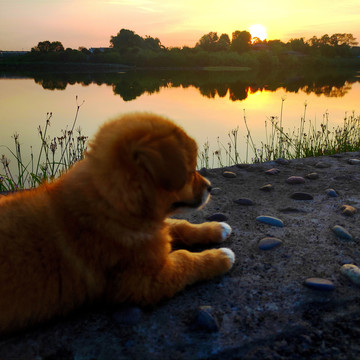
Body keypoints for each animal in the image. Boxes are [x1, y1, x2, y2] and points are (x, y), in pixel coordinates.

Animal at [0, 113, 235, 334]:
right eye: (190, 171)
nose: (210, 187)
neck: (110, 202)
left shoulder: (153, 231)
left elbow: (178, 225)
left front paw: (217, 228)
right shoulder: (144, 283)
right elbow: (185, 260)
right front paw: (222, 256)